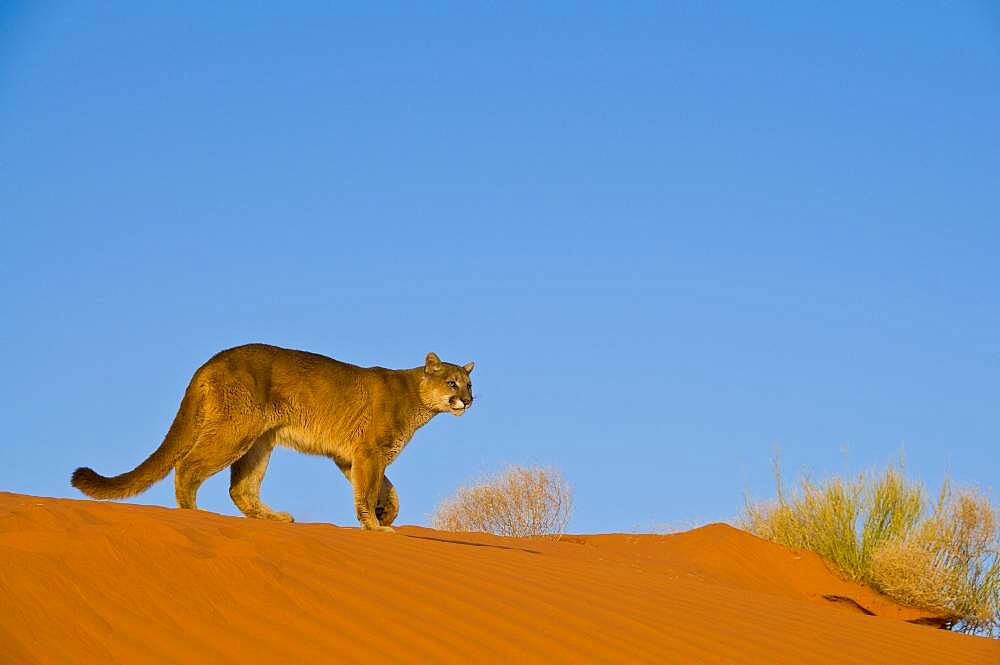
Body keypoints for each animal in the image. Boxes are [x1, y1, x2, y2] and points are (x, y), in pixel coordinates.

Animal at [72, 344, 474, 532]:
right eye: (451, 382)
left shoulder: (351, 456)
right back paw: (193, 514)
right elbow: (370, 487)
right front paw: (376, 525)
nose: (469, 400)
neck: (415, 396)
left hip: (260, 442)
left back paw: (273, 517)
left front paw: (384, 513)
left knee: (241, 487)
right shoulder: (369, 451)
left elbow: (386, 487)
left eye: (469, 383)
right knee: (188, 466)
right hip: (236, 431)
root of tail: (211, 361)